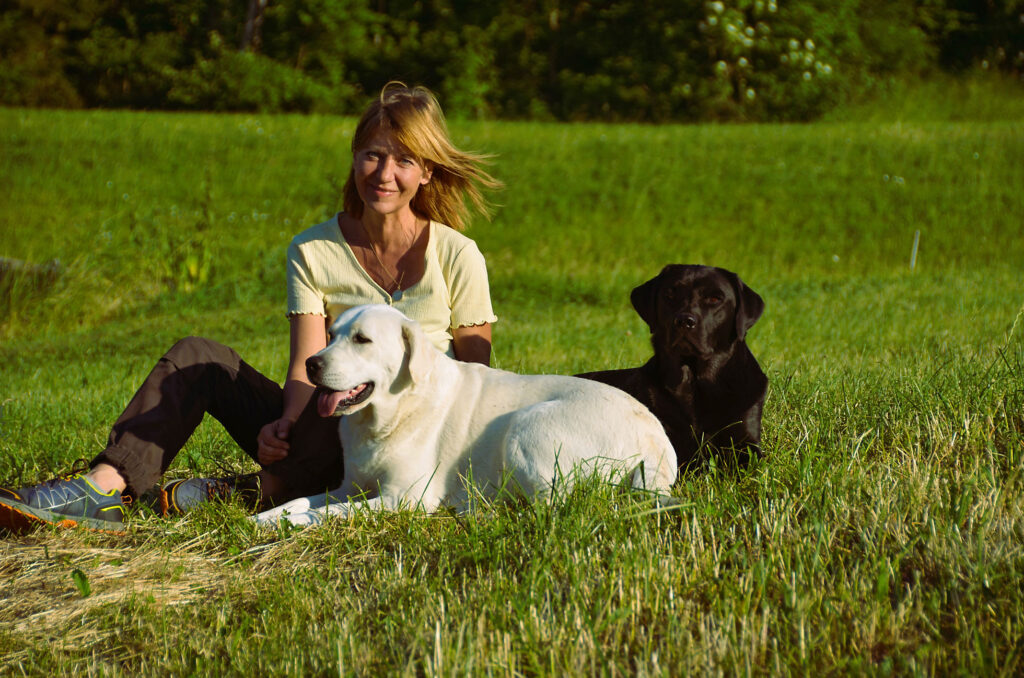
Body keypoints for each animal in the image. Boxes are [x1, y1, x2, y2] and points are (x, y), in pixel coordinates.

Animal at [251, 305, 675, 528]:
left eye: (361, 339)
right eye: (331, 335)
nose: (311, 363)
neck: (390, 414)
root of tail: (656, 441)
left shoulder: (405, 498)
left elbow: (328, 513)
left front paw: (286, 524)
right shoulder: (349, 486)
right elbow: (303, 500)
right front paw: (267, 516)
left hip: (527, 426)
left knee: (550, 504)